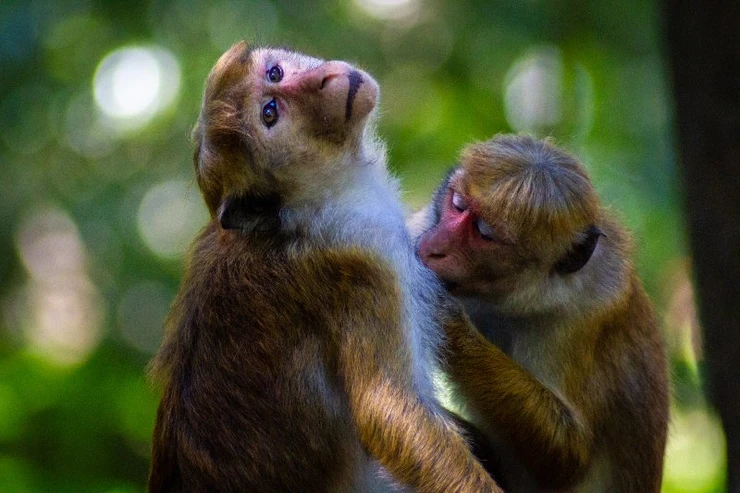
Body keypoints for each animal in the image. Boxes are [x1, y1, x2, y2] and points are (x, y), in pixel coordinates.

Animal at [146, 43, 502, 492]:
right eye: (270, 113)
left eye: (275, 73)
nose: (323, 79)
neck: (309, 203)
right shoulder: (366, 260)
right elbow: (390, 415)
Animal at [410, 135, 672, 492]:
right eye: (458, 204)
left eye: (483, 232)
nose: (436, 247)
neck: (496, 298)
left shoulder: (585, 314)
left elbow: (567, 457)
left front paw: (449, 324)